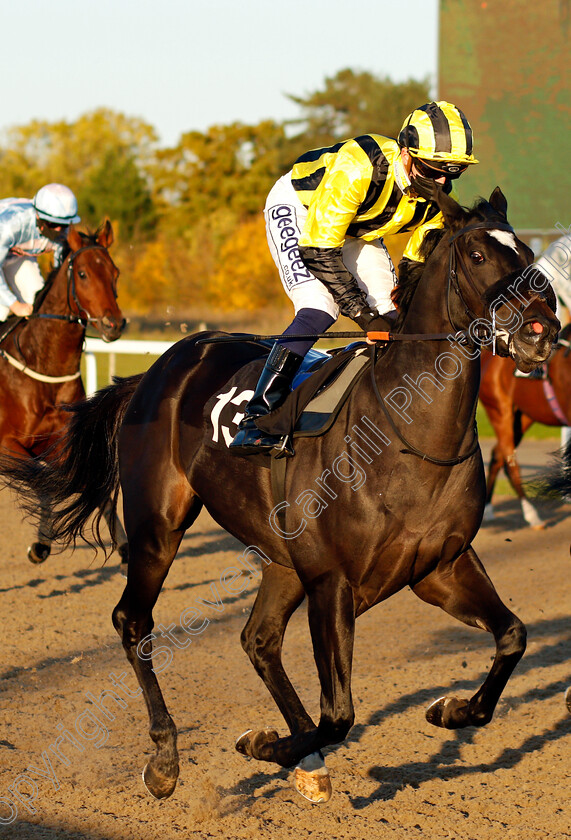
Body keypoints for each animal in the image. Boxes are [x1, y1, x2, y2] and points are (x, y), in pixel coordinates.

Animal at [0, 220, 126, 560]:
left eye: (115, 272)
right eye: (82, 273)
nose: (114, 324)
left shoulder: (60, 442)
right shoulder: (6, 444)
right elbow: (41, 479)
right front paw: (41, 543)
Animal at [478, 324, 571, 528]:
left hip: (523, 417)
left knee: (497, 456)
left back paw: (488, 508)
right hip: (499, 411)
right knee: (510, 461)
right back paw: (532, 515)